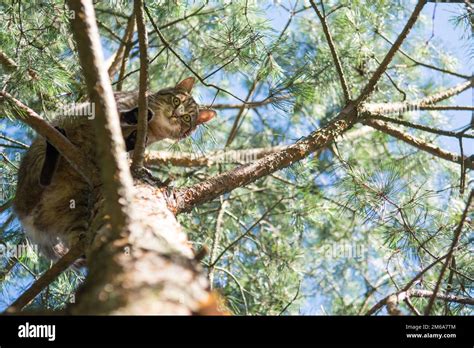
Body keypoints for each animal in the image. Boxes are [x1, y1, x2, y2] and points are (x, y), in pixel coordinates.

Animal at [12, 76, 217, 266]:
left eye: (187, 118)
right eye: (176, 101)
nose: (176, 114)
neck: (152, 128)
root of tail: (23, 215)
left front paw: (132, 139)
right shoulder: (109, 106)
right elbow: (118, 114)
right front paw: (135, 116)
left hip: (76, 203)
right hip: (46, 146)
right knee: (43, 173)